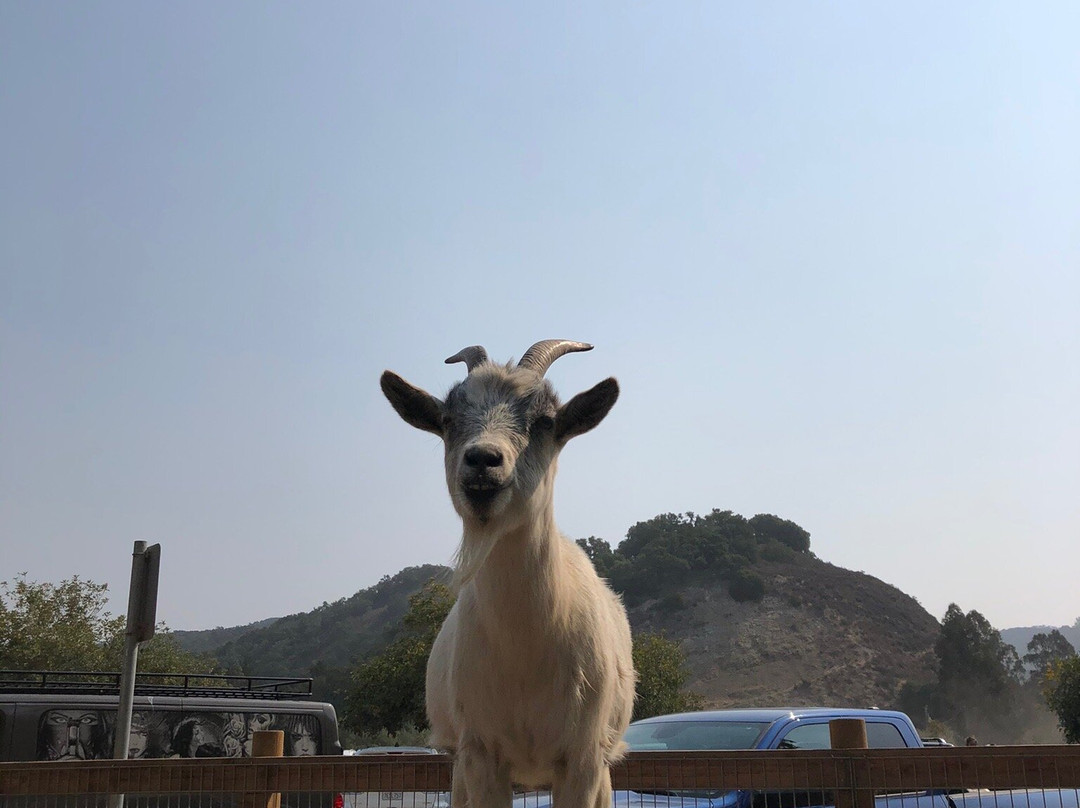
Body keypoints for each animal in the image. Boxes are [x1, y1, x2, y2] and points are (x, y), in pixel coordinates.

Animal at [380, 339, 630, 808]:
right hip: (458, 761)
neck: (525, 652)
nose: (482, 460)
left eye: (546, 421)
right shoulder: (480, 752)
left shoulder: (583, 757)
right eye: (447, 420)